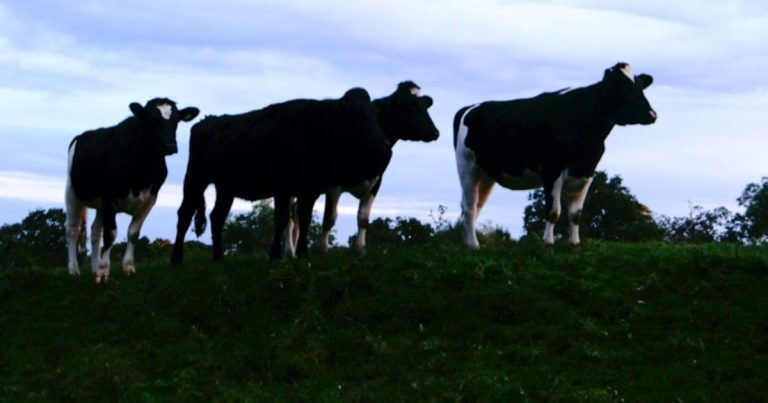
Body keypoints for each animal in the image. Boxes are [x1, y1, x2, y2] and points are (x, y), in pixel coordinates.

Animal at [65, 98, 200, 283]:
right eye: (151, 120)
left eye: (177, 121)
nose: (170, 145)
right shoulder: (108, 196)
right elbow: (111, 233)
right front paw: (104, 271)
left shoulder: (150, 199)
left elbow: (133, 233)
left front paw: (127, 267)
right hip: (72, 193)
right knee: (73, 229)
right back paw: (73, 269)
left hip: (99, 205)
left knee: (95, 231)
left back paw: (93, 268)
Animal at [170, 87, 392, 264]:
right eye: (357, 115)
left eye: (376, 115)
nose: (384, 146)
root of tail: (206, 121)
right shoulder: (283, 187)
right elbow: (281, 219)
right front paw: (276, 255)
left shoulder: (310, 190)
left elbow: (304, 218)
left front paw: (302, 254)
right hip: (195, 178)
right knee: (185, 213)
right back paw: (177, 258)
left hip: (226, 187)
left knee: (217, 216)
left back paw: (218, 258)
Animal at [285, 81, 439, 255]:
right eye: (410, 106)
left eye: (425, 106)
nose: (435, 132)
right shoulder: (333, 183)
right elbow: (330, 218)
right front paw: (323, 250)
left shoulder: (376, 181)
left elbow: (363, 218)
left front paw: (360, 250)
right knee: (289, 218)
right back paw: (289, 250)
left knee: (297, 214)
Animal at [454, 62, 657, 249]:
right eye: (622, 87)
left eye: (640, 86)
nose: (652, 114)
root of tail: (470, 107)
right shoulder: (552, 171)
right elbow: (553, 212)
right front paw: (548, 245)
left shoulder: (586, 173)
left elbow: (575, 215)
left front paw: (575, 246)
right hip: (467, 167)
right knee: (469, 207)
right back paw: (474, 246)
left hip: (486, 175)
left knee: (476, 206)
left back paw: (467, 243)